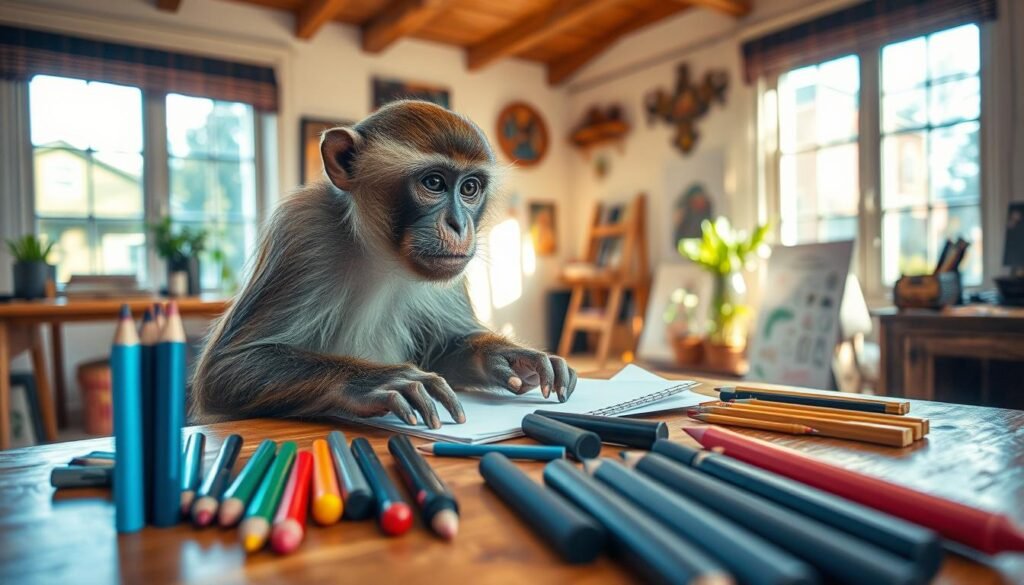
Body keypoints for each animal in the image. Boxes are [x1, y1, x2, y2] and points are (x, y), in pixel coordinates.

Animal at [190, 100, 577, 429]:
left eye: (469, 188)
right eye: (434, 182)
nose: (458, 224)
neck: (380, 256)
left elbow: (441, 347)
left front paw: (507, 357)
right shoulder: (301, 230)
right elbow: (229, 366)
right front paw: (378, 380)